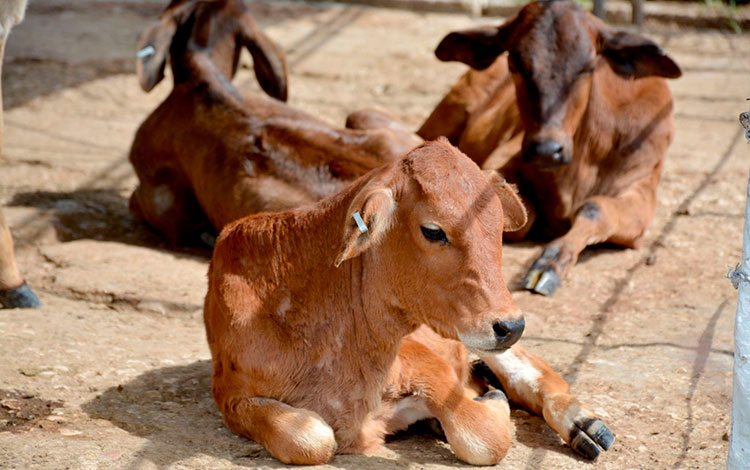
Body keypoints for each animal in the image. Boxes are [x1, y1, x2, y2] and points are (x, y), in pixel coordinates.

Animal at [203, 138, 612, 464]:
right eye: (433, 230)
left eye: (497, 227)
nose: (511, 325)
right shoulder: (231, 394)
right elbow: (310, 437)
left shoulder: (423, 359)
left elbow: (484, 436)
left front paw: (486, 401)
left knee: (538, 371)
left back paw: (584, 424)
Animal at [420, 0, 684, 296]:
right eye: (514, 64)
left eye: (588, 67)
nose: (547, 149)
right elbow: (523, 215)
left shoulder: (643, 190)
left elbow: (596, 208)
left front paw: (550, 263)